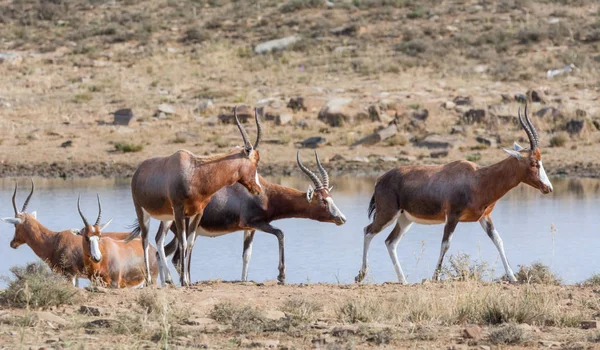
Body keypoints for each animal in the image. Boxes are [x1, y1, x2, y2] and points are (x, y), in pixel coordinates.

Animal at [129, 107, 262, 288]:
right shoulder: (180, 211)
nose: (258, 189)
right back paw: (150, 280)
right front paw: (184, 281)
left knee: (158, 240)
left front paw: (187, 281)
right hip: (142, 211)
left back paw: (168, 281)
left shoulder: (198, 212)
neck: (195, 171)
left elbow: (190, 243)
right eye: (255, 161)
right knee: (144, 239)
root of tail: (138, 171)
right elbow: (183, 242)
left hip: (167, 217)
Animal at [156, 150, 346, 284]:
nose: (342, 218)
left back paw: (168, 282)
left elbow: (247, 254)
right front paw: (281, 275)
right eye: (322, 200)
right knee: (173, 255)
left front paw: (244, 280)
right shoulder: (255, 223)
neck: (265, 193)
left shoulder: (250, 229)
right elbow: (280, 233)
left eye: (330, 197)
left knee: (164, 252)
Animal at [356, 104, 552, 284]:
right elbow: (446, 244)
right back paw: (361, 275)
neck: (477, 178)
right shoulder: (452, 216)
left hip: (405, 219)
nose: (548, 188)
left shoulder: (484, 217)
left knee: (390, 242)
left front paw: (513, 278)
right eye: (534, 162)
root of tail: (380, 179)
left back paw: (403, 280)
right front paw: (435, 277)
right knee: (368, 231)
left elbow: (498, 240)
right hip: (388, 214)